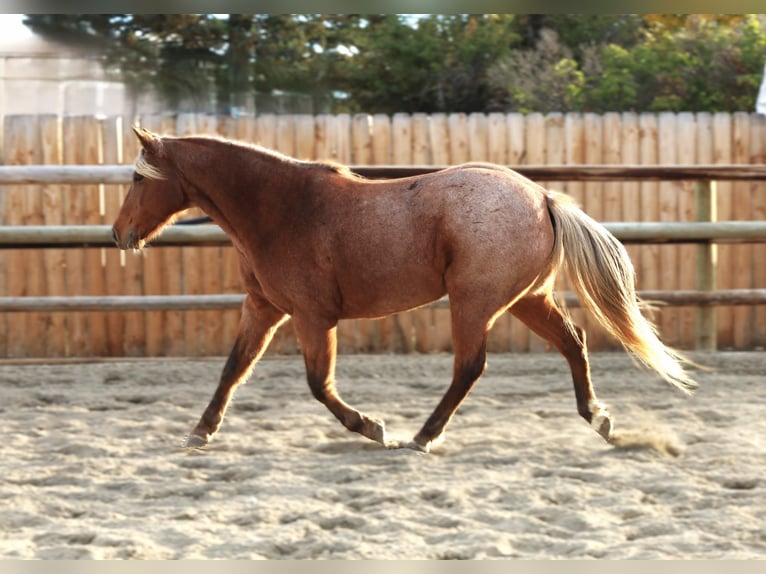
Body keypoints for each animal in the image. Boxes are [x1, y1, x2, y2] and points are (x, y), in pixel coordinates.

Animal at [112, 126, 697, 453]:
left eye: (139, 178)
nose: (118, 234)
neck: (281, 209)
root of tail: (542, 198)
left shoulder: (312, 316)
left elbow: (318, 383)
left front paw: (371, 426)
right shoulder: (263, 309)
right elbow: (233, 370)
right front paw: (199, 433)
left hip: (474, 303)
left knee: (470, 366)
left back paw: (421, 437)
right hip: (528, 300)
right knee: (573, 342)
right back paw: (599, 420)